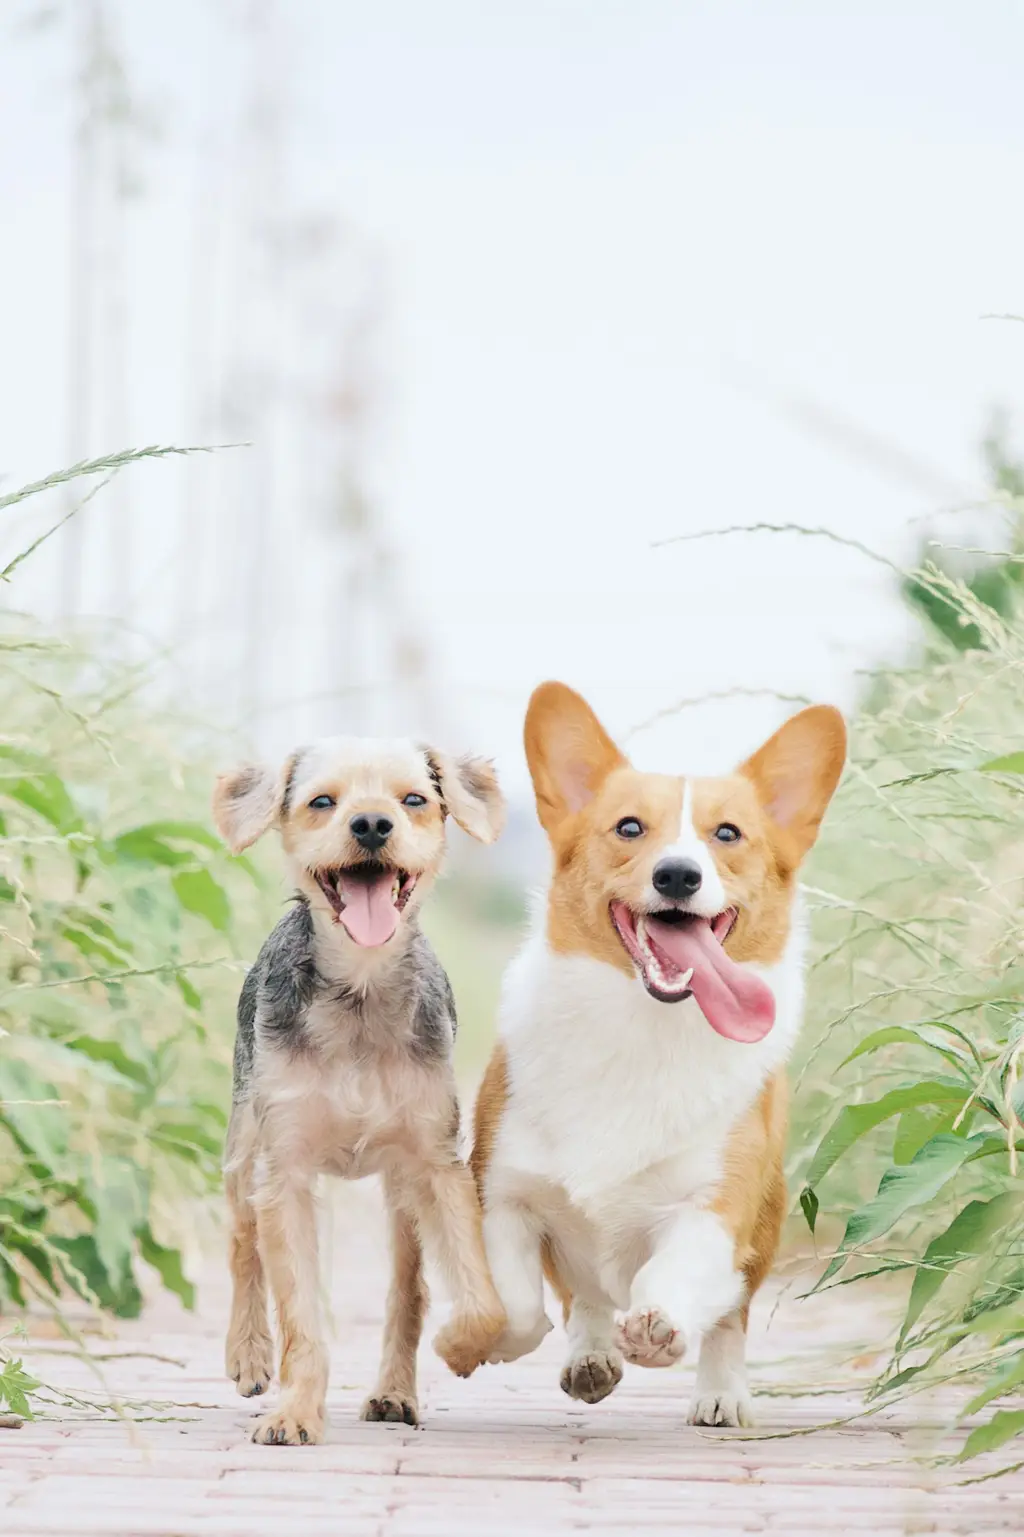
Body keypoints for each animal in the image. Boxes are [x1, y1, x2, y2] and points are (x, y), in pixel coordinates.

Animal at [210, 737, 507, 1444]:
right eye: (322, 801)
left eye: (415, 799)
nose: (371, 824)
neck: (361, 992)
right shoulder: (284, 1171)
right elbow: (299, 1314)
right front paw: (294, 1410)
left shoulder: (436, 1164)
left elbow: (479, 1298)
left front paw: (463, 1346)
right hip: (243, 1146)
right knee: (241, 1243)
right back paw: (249, 1354)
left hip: (399, 1194)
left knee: (408, 1289)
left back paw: (395, 1393)